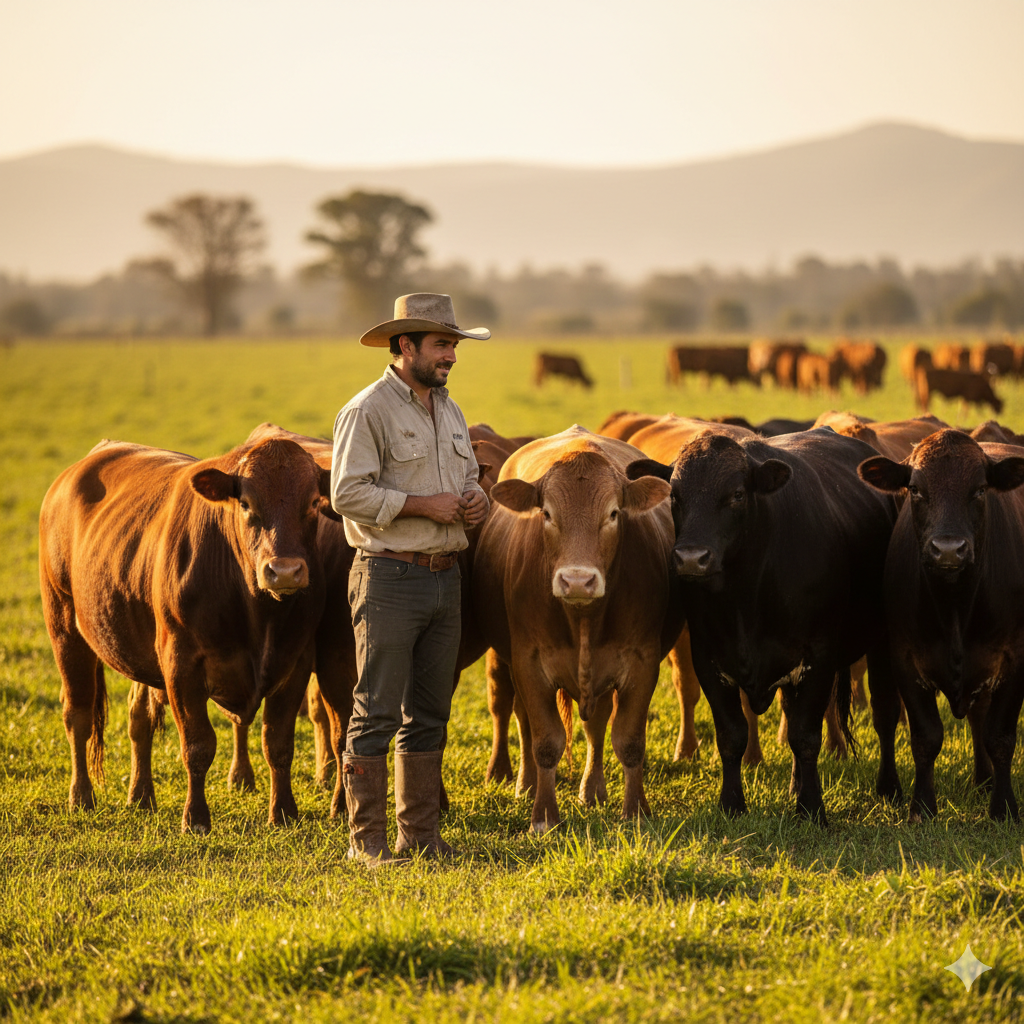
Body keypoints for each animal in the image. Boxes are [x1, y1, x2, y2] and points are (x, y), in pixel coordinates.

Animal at [38, 437, 334, 833]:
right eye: (246, 503)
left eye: (314, 502)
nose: (284, 571)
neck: (255, 612)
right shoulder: (181, 664)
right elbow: (198, 744)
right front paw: (195, 818)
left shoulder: (295, 661)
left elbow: (278, 743)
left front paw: (284, 812)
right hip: (64, 627)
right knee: (78, 715)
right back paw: (81, 796)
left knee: (139, 717)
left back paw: (141, 795)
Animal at [472, 426, 684, 832]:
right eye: (547, 513)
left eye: (613, 513)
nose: (577, 581)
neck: (583, 617)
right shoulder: (529, 664)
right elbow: (545, 742)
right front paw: (543, 816)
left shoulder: (642, 664)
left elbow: (629, 741)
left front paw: (635, 810)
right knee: (515, 714)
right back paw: (523, 783)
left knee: (595, 728)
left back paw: (592, 789)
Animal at [626, 427, 898, 824]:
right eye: (674, 495)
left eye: (737, 494)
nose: (691, 558)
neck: (746, 596)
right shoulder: (708, 657)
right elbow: (732, 736)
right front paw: (731, 804)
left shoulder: (819, 656)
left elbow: (805, 736)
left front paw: (812, 809)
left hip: (882, 641)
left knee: (885, 715)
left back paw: (890, 788)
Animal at [858, 430, 1024, 819]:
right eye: (915, 489)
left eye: (980, 489)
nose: (948, 549)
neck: (955, 608)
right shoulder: (905, 659)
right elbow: (926, 737)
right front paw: (922, 807)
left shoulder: (1015, 658)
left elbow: (1000, 737)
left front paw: (1004, 807)